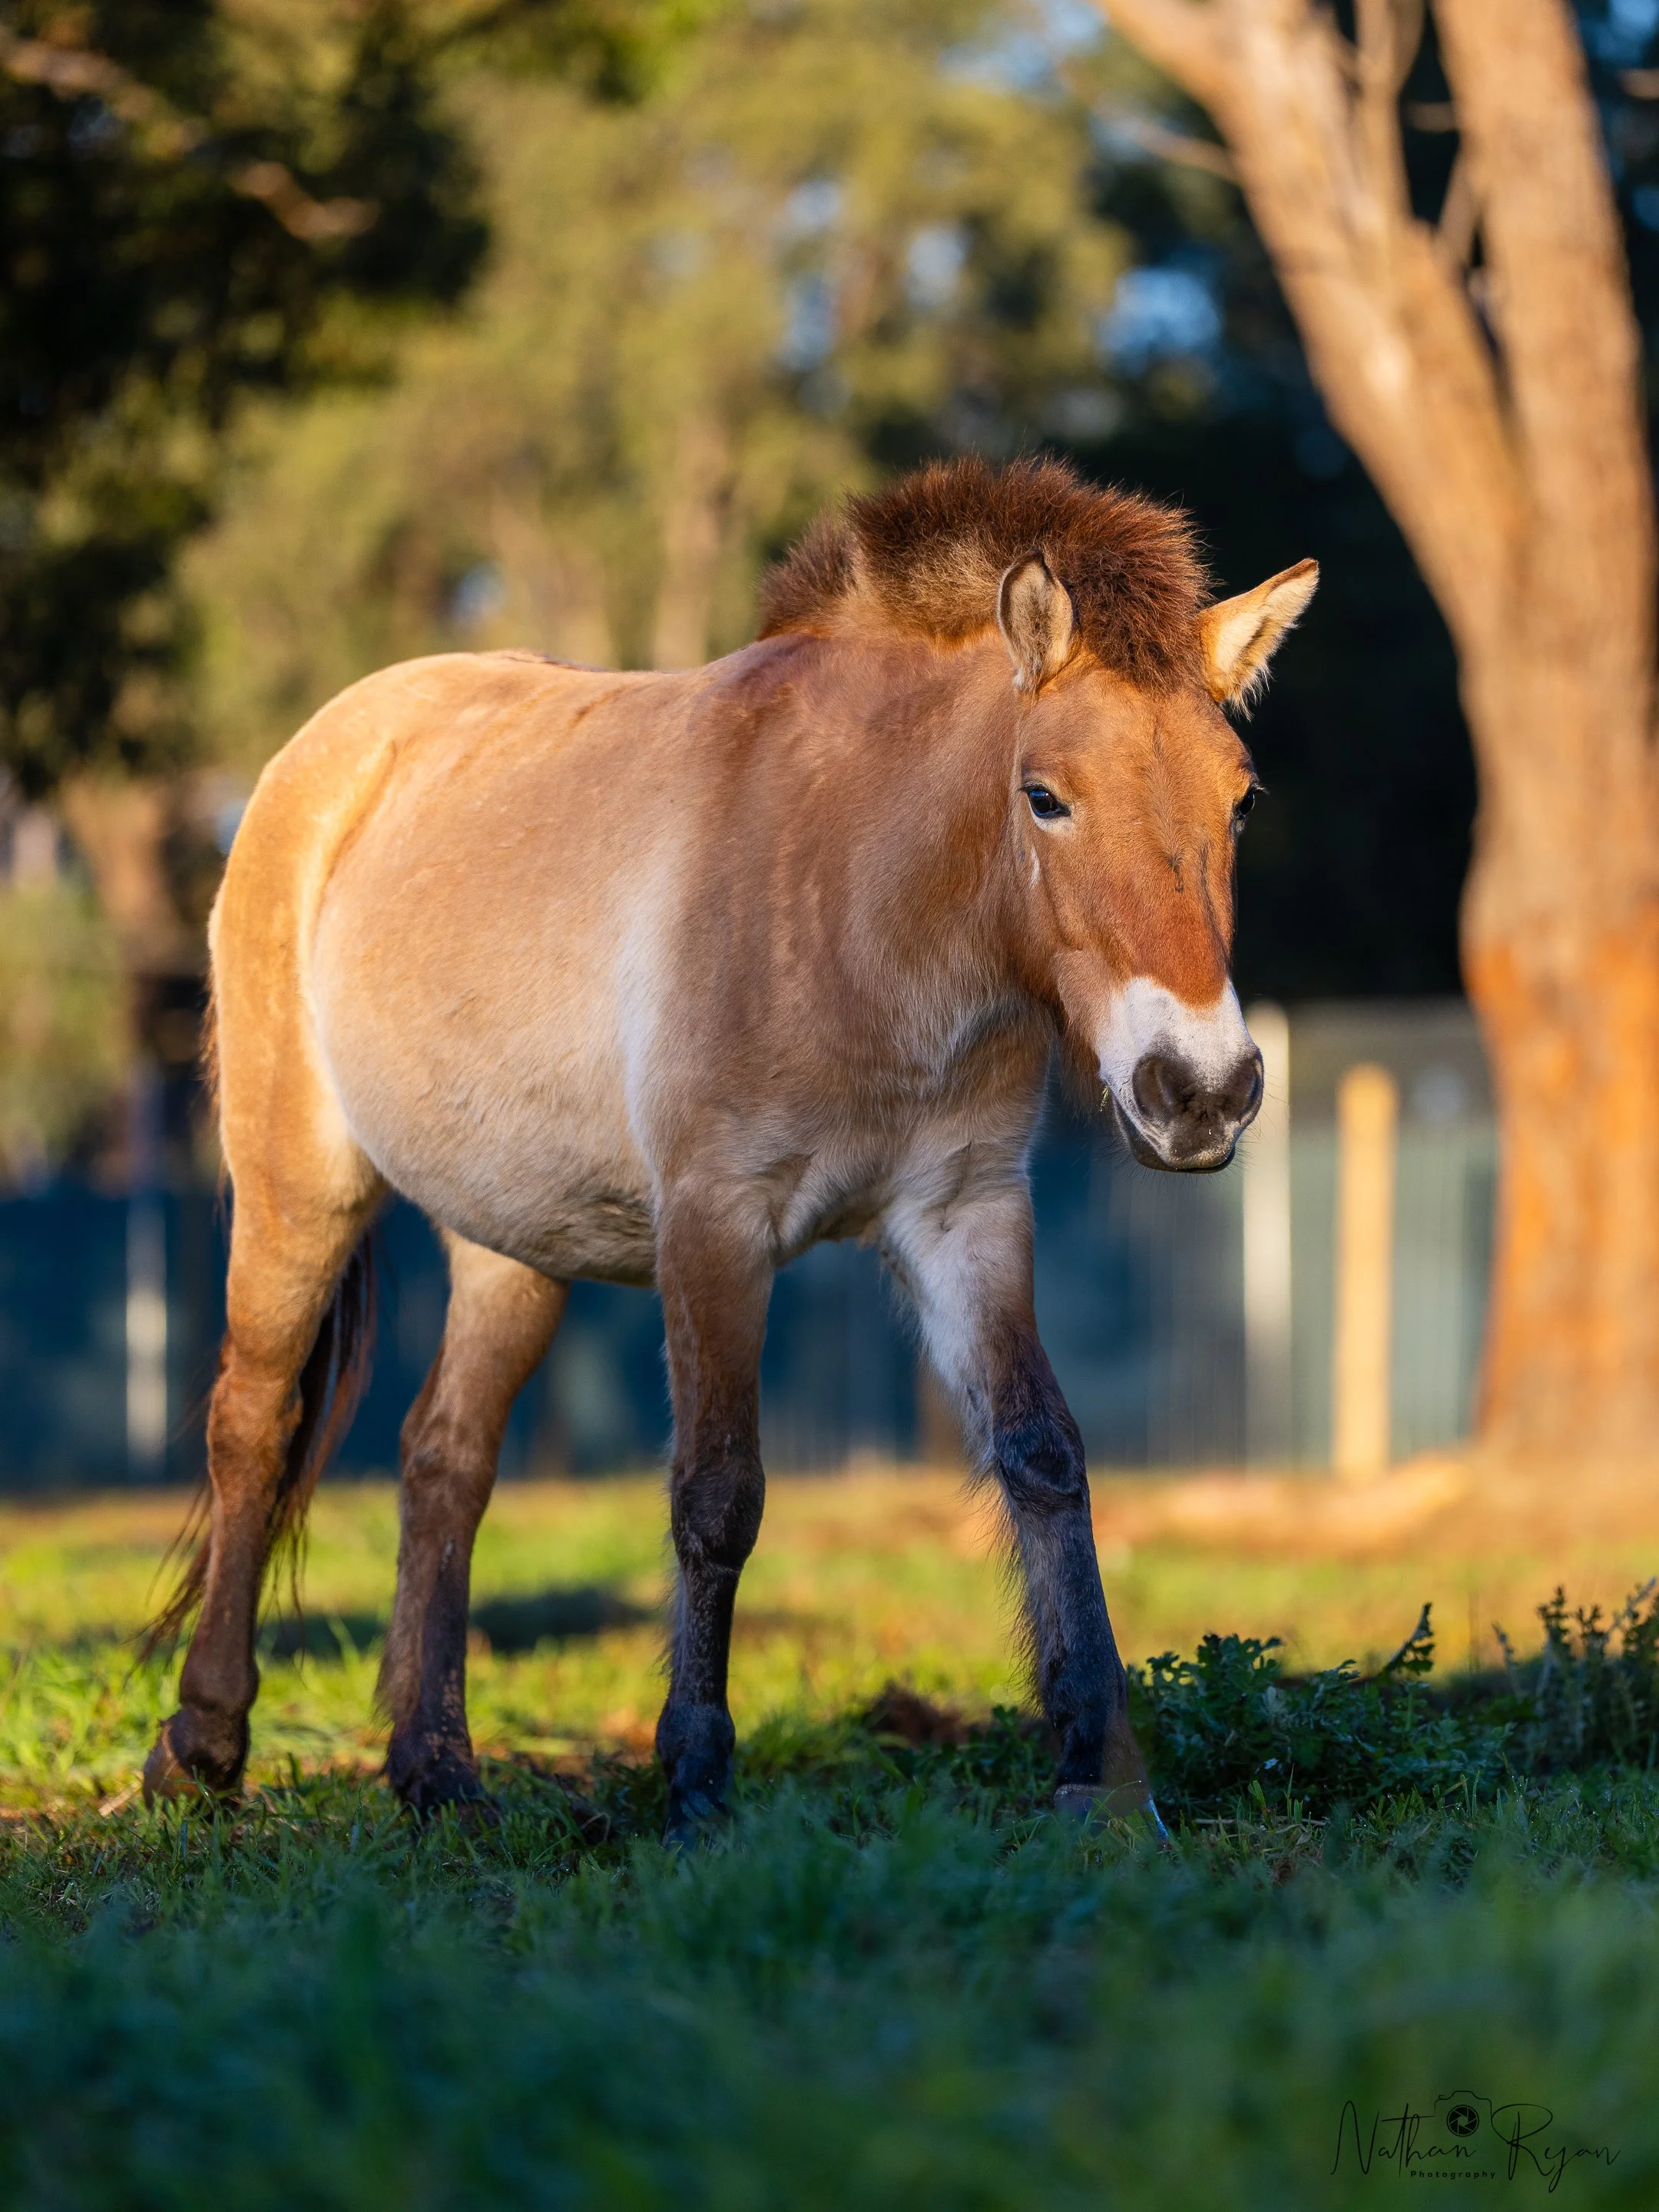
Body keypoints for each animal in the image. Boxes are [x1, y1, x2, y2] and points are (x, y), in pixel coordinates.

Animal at [142, 455, 1316, 1839]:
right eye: (1047, 797)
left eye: (1240, 799)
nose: (1203, 1091)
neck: (861, 897)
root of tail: (322, 756)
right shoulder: (716, 1223)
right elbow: (719, 1495)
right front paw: (696, 1776)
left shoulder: (966, 1214)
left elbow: (1044, 1456)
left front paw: (1101, 1770)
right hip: (298, 1186)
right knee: (253, 1423)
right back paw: (202, 1743)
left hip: (513, 1246)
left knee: (445, 1459)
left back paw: (437, 1769)